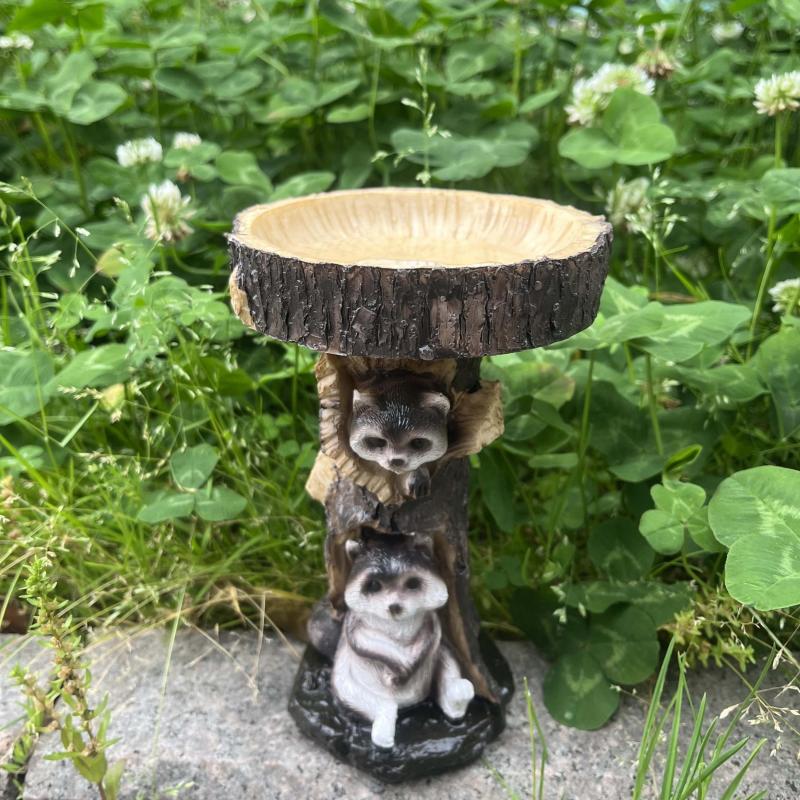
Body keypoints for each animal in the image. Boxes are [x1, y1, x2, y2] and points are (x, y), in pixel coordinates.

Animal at [331, 534, 475, 749]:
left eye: (412, 583)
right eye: (374, 585)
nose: (394, 607)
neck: (396, 625)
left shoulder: (431, 620)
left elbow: (431, 637)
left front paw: (411, 661)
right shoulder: (353, 623)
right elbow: (363, 643)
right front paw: (397, 664)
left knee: (447, 664)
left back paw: (457, 697)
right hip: (346, 685)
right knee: (374, 703)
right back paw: (383, 730)